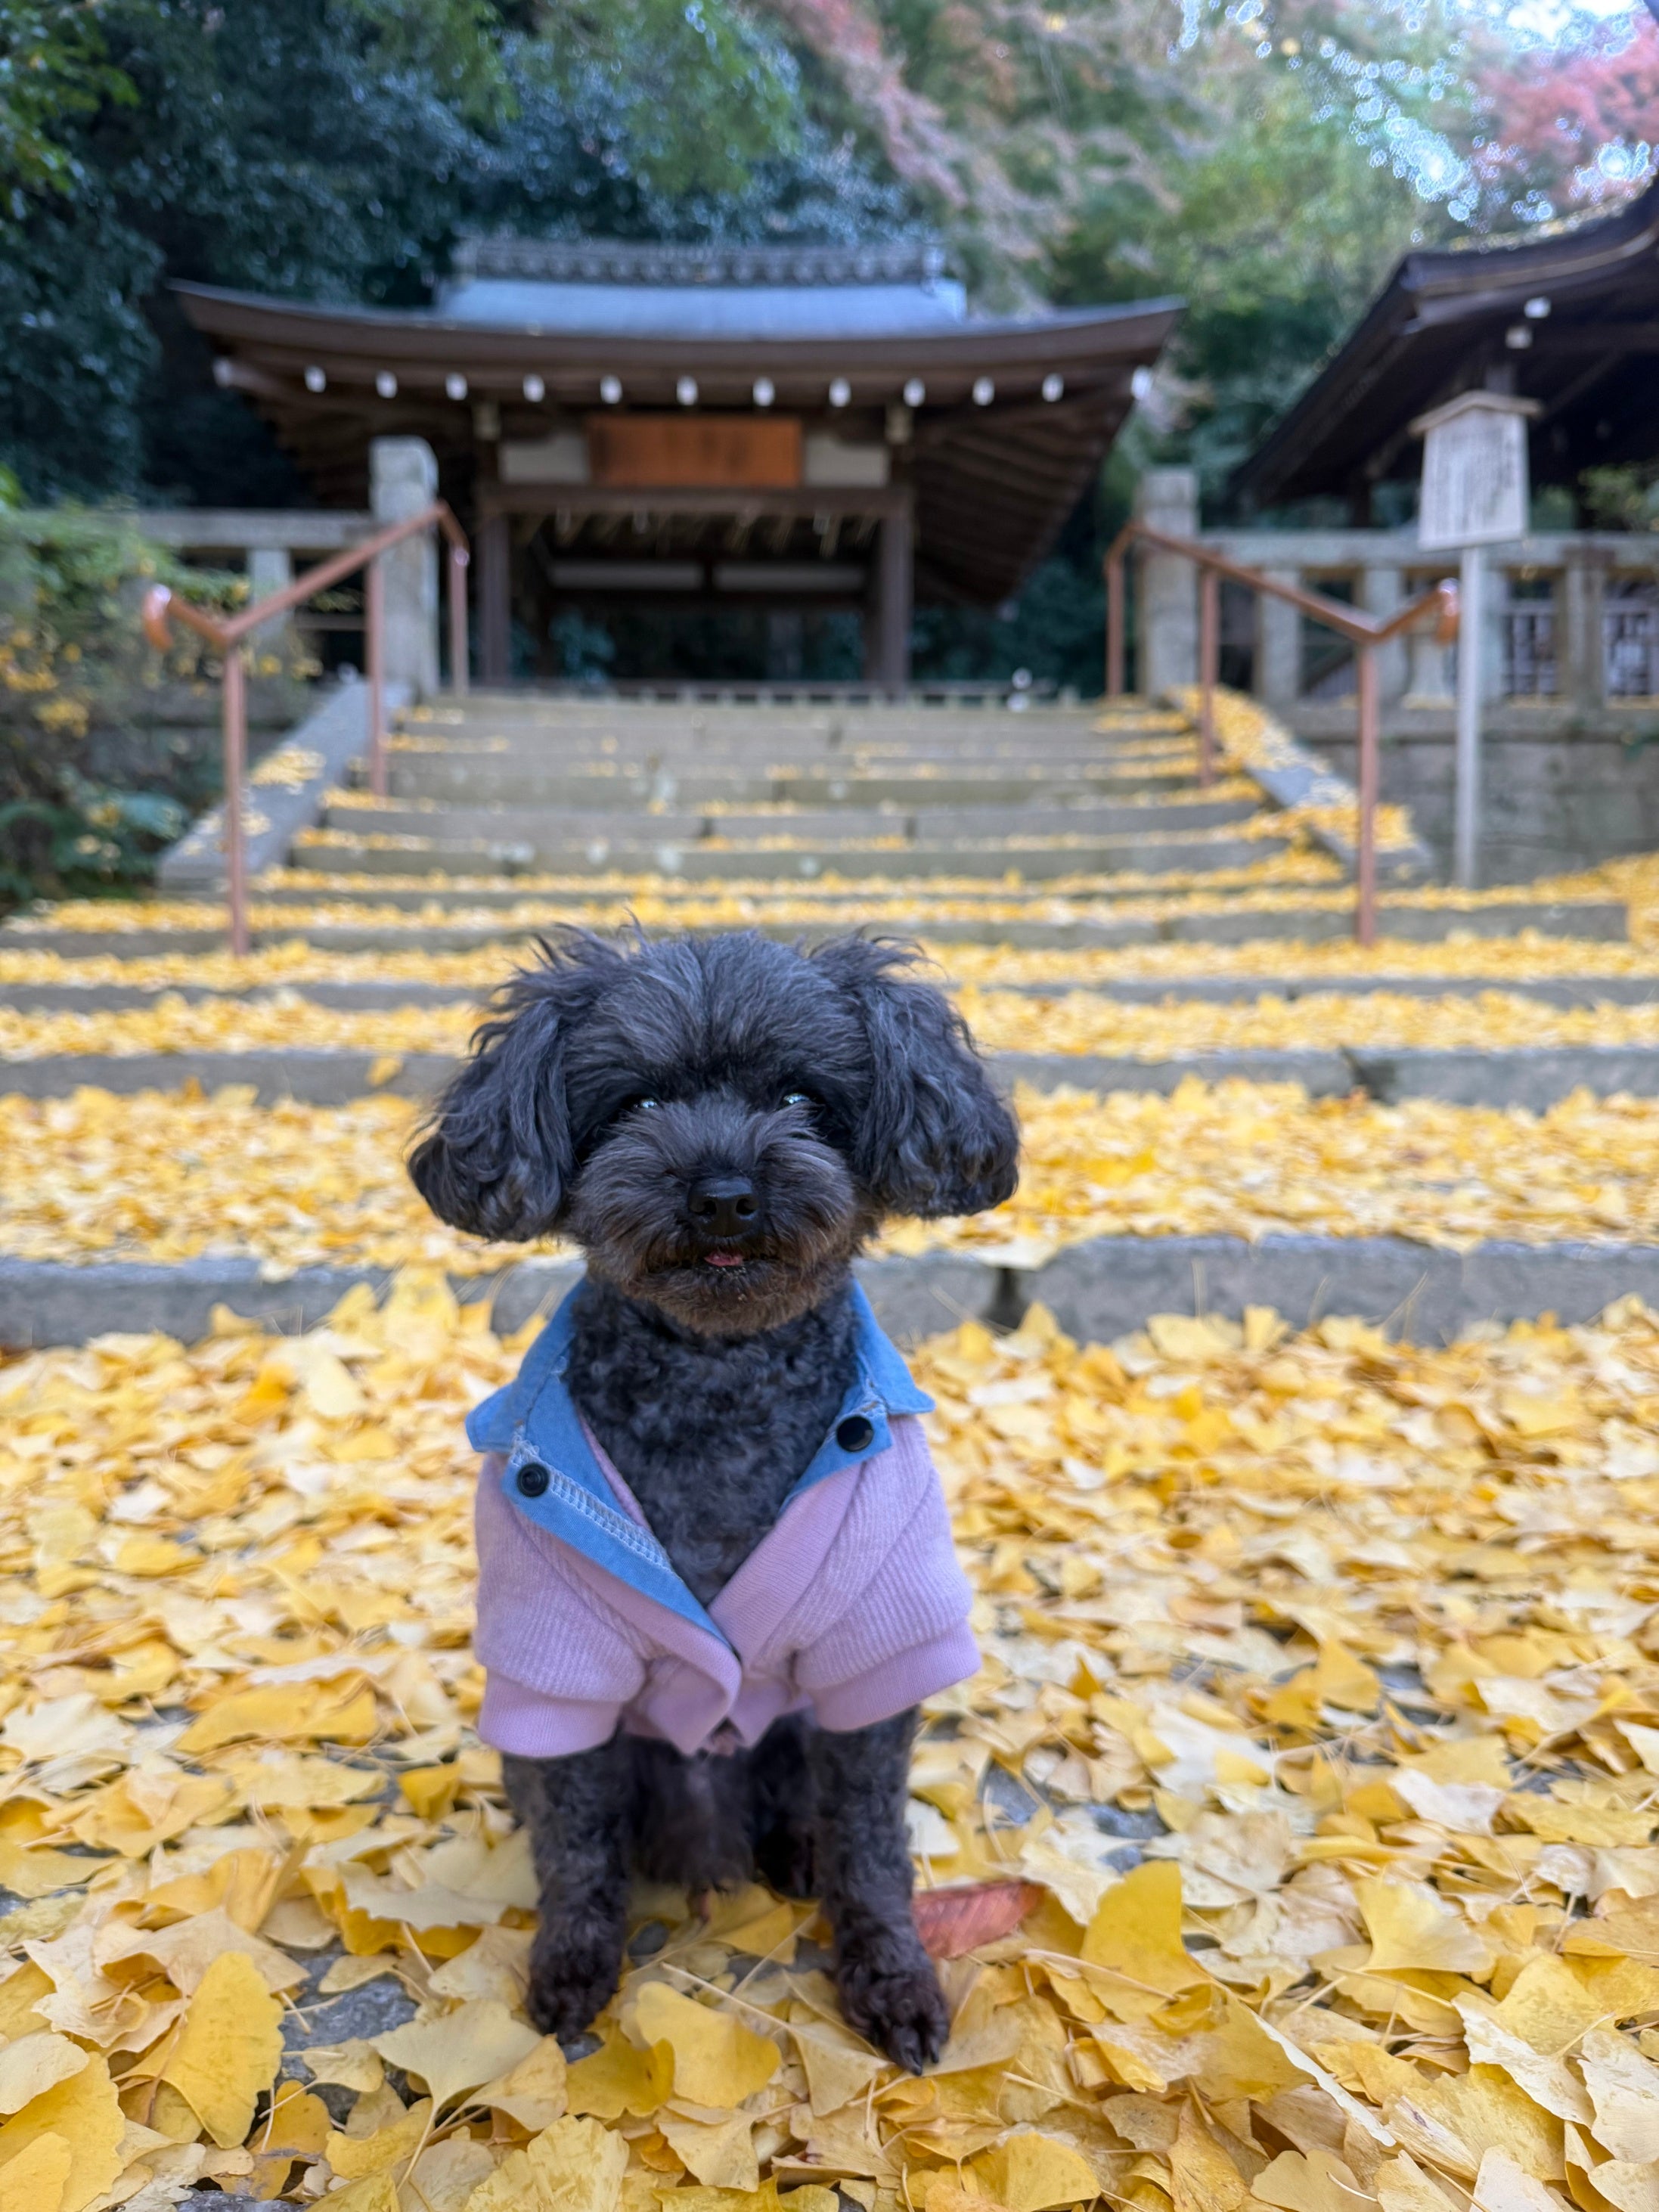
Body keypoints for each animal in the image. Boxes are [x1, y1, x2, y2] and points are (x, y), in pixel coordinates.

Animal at [409, 928, 1018, 2070]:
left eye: (800, 1098)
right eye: (640, 1102)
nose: (725, 1193)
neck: (718, 1375)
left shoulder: (874, 1655)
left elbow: (873, 1847)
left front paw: (891, 1982)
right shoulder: (560, 1663)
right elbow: (576, 1850)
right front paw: (572, 1969)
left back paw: (795, 1856)